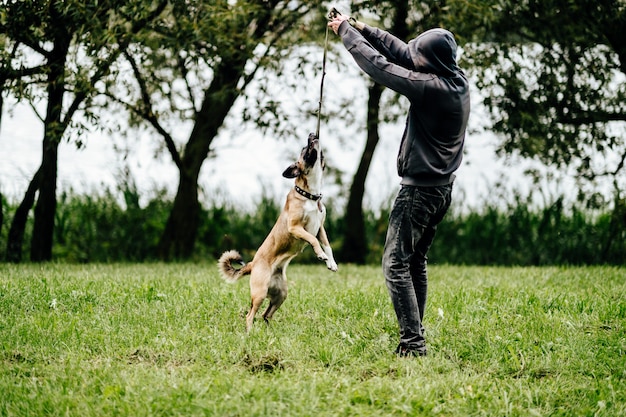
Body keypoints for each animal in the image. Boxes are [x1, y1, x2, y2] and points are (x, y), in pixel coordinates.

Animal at [218, 133, 336, 332]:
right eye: (304, 150)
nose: (312, 134)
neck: (310, 195)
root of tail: (253, 264)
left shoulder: (320, 228)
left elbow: (327, 246)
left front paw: (331, 263)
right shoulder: (296, 227)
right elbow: (312, 240)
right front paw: (320, 255)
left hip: (281, 294)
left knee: (266, 314)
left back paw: (268, 330)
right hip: (259, 292)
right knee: (250, 315)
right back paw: (250, 333)